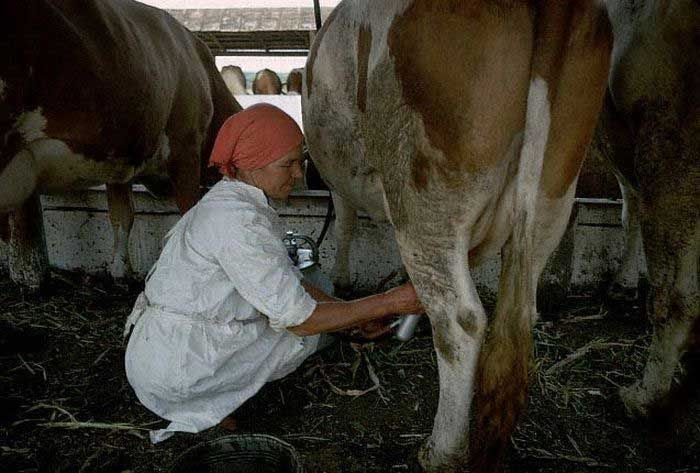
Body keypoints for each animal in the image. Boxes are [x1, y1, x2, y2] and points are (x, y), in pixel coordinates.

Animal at [300, 1, 612, 470]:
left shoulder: (341, 185)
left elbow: (345, 222)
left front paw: (341, 279)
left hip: (426, 195)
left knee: (460, 322)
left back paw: (441, 450)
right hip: (553, 194)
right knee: (521, 305)